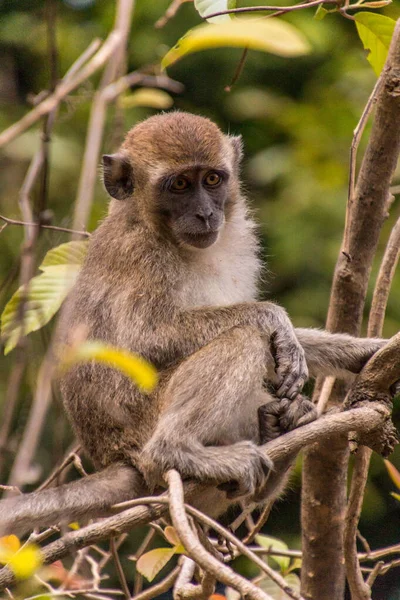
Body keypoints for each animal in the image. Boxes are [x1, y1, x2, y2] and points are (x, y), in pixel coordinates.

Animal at [0, 113, 390, 540]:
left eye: (213, 179)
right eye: (181, 185)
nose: (205, 214)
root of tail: (114, 456)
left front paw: (362, 351)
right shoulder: (141, 256)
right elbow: (146, 338)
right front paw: (273, 318)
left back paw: (281, 434)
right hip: (144, 422)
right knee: (242, 340)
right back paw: (176, 451)